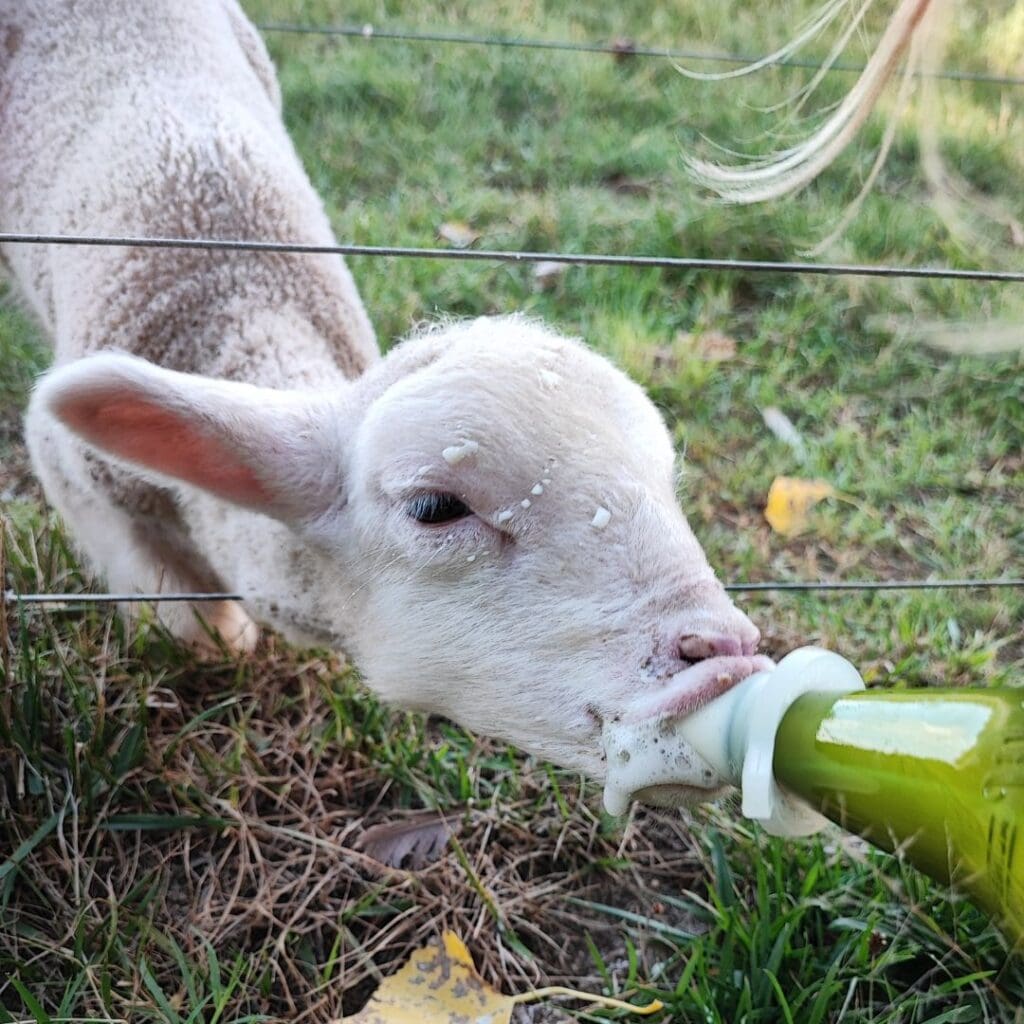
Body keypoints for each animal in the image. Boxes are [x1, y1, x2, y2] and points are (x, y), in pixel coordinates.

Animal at [2, 0, 770, 778]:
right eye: (434, 508)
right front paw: (213, 635)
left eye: (669, 485)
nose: (728, 658)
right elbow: (188, 620)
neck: (237, 293)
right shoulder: (77, 479)